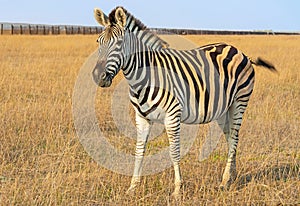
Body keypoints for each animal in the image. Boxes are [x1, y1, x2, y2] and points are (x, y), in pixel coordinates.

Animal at [92, 6, 276, 196]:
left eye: (119, 43)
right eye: (99, 42)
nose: (98, 76)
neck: (145, 78)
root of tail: (239, 51)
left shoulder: (172, 116)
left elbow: (174, 152)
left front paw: (177, 190)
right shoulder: (142, 117)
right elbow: (139, 151)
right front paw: (133, 188)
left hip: (240, 101)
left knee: (234, 137)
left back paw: (225, 181)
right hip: (223, 108)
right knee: (230, 137)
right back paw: (232, 175)